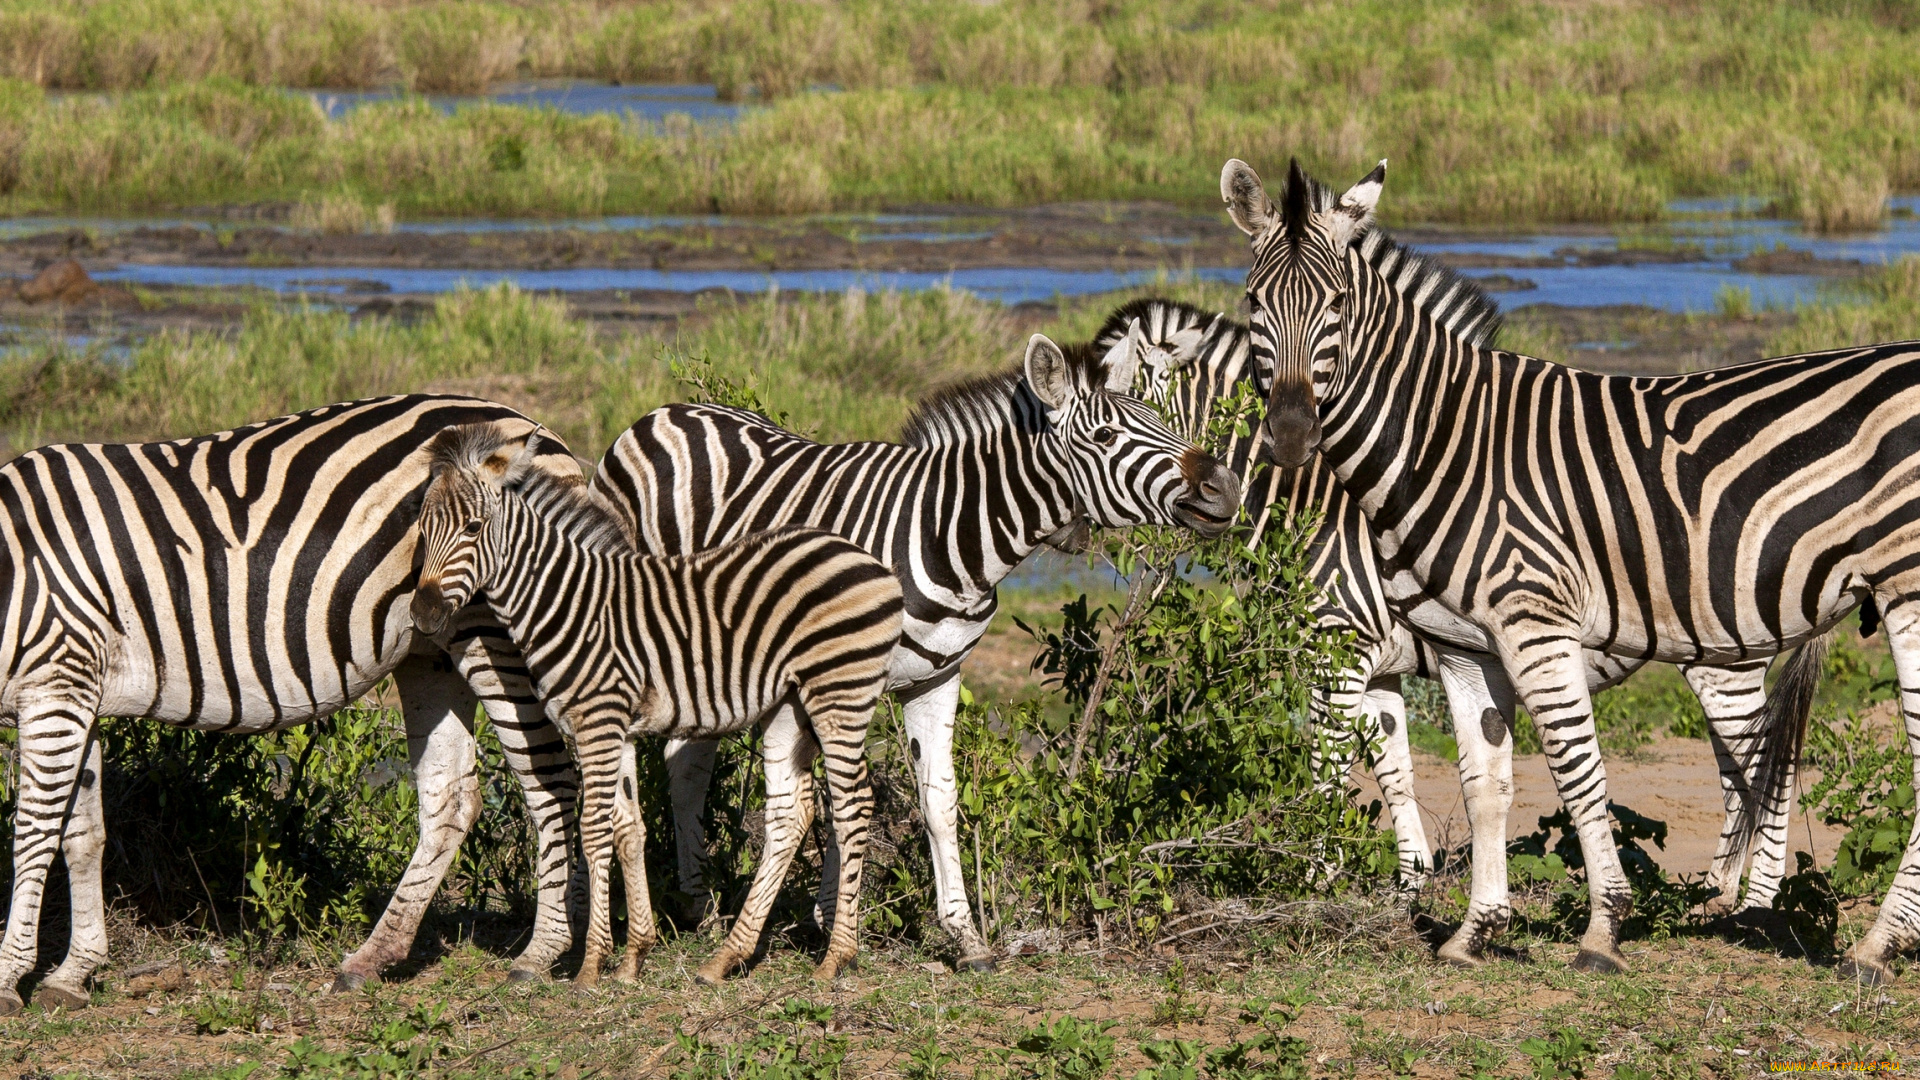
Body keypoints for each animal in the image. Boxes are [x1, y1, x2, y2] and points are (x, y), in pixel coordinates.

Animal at [0, 395, 591, 1013]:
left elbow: (34, 832)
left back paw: (542, 951)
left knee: (552, 779)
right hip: (431, 649)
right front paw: (73, 971)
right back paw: (372, 957)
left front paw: (9, 978)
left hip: (500, 631)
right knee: (451, 798)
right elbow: (81, 833)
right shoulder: (75, 692)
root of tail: (539, 431)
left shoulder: (55, 684)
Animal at [410, 421, 902, 985]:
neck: (567, 602)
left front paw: (591, 966)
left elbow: (595, 831)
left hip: (841, 691)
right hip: (789, 705)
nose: (423, 614)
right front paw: (633, 957)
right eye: (421, 529)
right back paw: (727, 956)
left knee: (853, 803)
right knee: (790, 812)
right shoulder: (614, 727)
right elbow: (628, 828)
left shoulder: (598, 723)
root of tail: (865, 557)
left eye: (473, 528)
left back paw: (836, 957)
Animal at [588, 329, 1243, 969]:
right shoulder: (844, 677)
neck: (952, 538)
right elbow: (843, 797)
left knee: (685, 764)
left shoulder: (938, 678)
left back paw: (697, 903)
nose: (1227, 485)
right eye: (1106, 436)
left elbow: (938, 800)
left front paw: (964, 937)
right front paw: (834, 920)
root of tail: (662, 413)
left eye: (1159, 417)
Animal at [1092, 297, 1823, 949]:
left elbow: (1328, 765)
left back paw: (1751, 909)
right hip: (1714, 659)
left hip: (1727, 662)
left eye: (1118, 421)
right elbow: (1394, 770)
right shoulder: (1377, 670)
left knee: (1769, 773)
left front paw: (1311, 883)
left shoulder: (1341, 651)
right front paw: (1405, 889)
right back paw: (1715, 896)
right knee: (1740, 775)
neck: (1317, 500)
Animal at [1221, 154, 1920, 983]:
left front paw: (1602, 929)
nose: (1292, 436)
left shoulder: (1531, 623)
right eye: (1254, 300)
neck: (1444, 442)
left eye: (1336, 303)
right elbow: (1484, 785)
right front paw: (1475, 932)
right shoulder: (1463, 648)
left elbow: (1576, 771)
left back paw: (1873, 945)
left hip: (1905, 592)